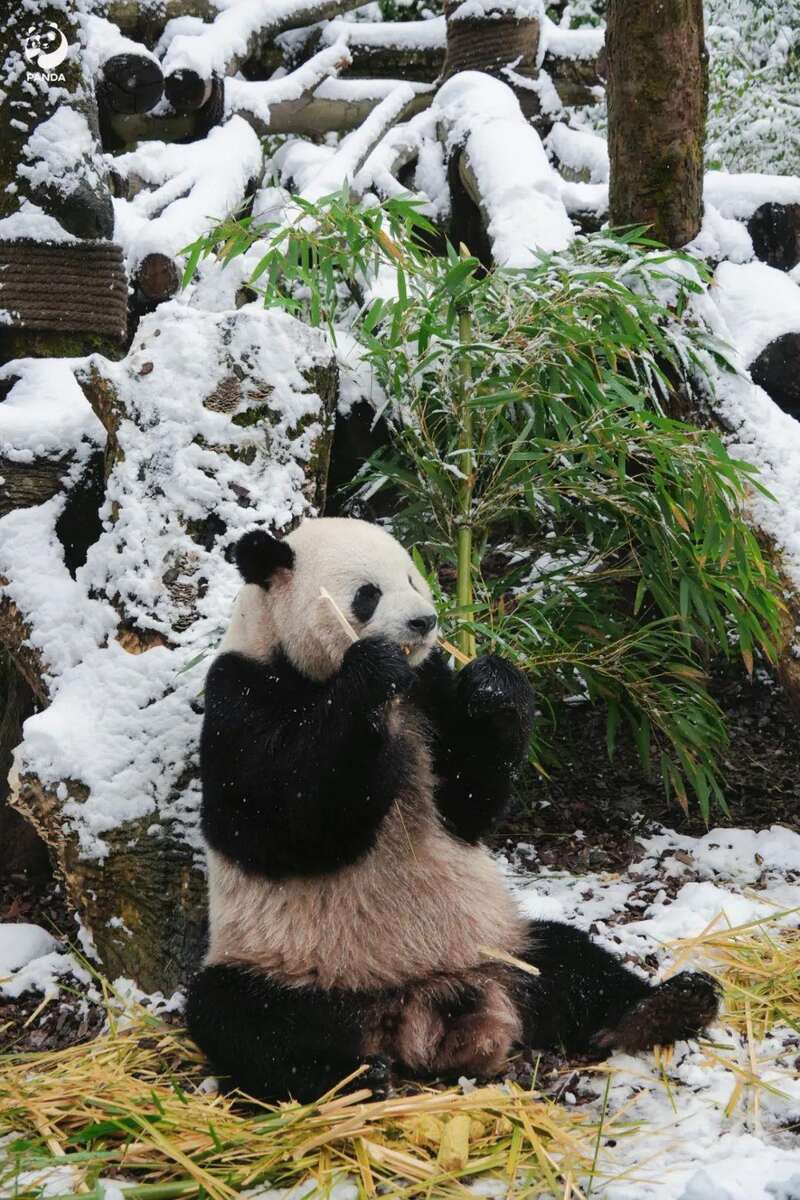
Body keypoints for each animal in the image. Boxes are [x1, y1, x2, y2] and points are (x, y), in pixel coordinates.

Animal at [185, 520, 719, 1099]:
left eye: (413, 578)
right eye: (368, 594)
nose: (425, 621)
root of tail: (426, 1009)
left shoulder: (431, 691)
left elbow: (468, 804)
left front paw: (493, 683)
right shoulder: (241, 692)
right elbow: (274, 823)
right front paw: (372, 675)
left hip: (500, 944)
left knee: (571, 959)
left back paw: (668, 1005)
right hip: (290, 967)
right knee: (242, 1018)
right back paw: (349, 1076)